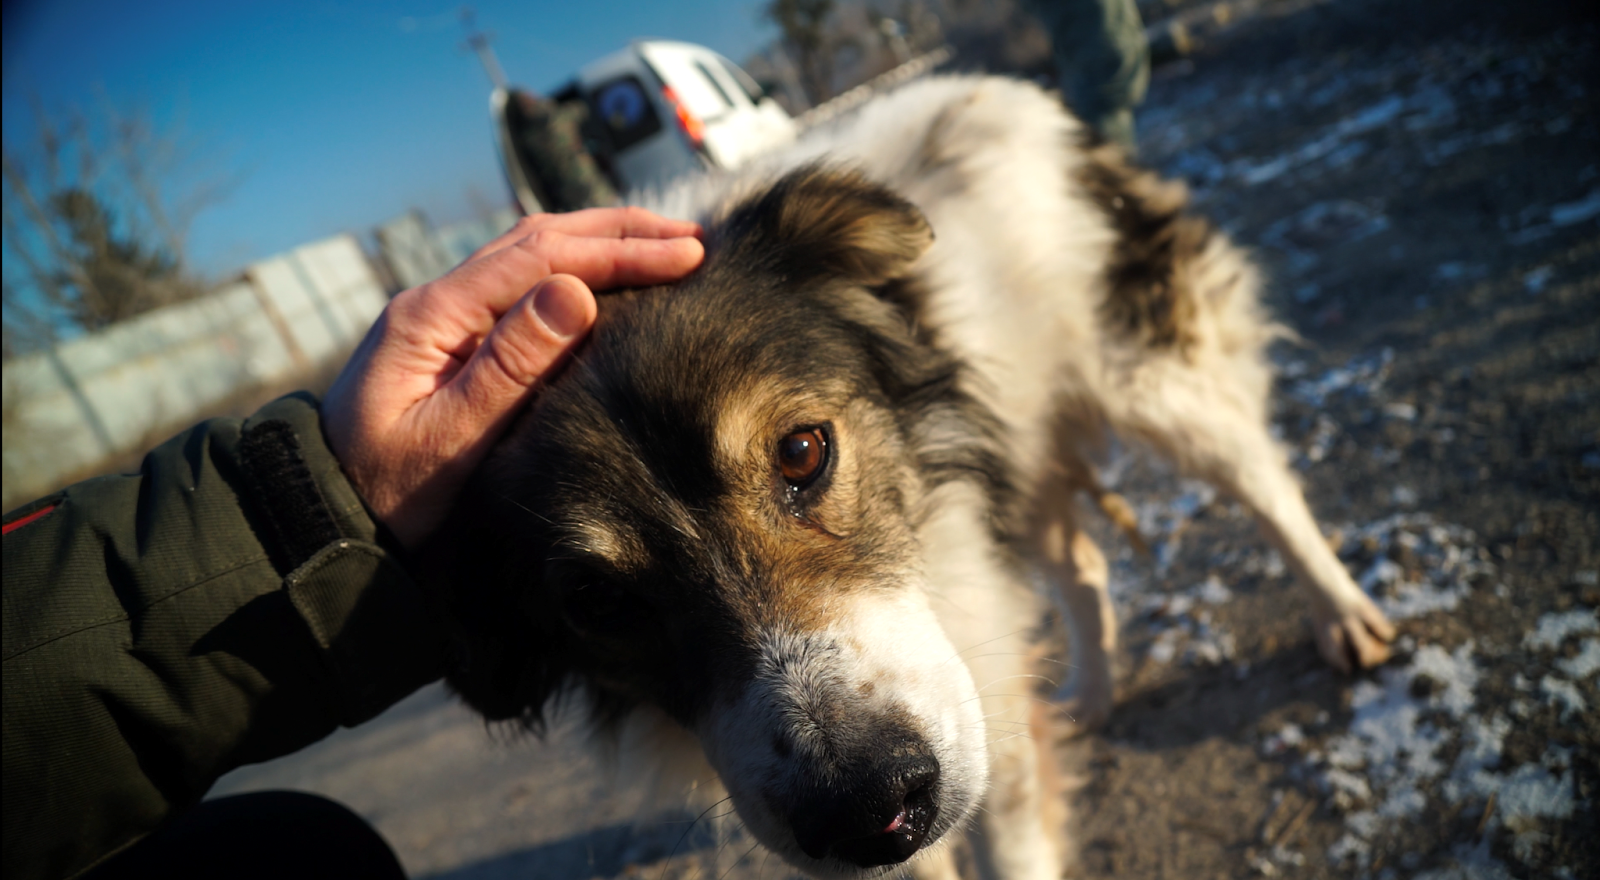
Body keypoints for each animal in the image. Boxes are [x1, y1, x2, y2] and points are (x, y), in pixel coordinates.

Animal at [422, 77, 1388, 880]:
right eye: (595, 600)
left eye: (802, 452)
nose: (869, 807)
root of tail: (1011, 92)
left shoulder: (979, 705)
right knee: (1082, 561)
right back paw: (1091, 696)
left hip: (1148, 374)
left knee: (1261, 479)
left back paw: (1345, 619)